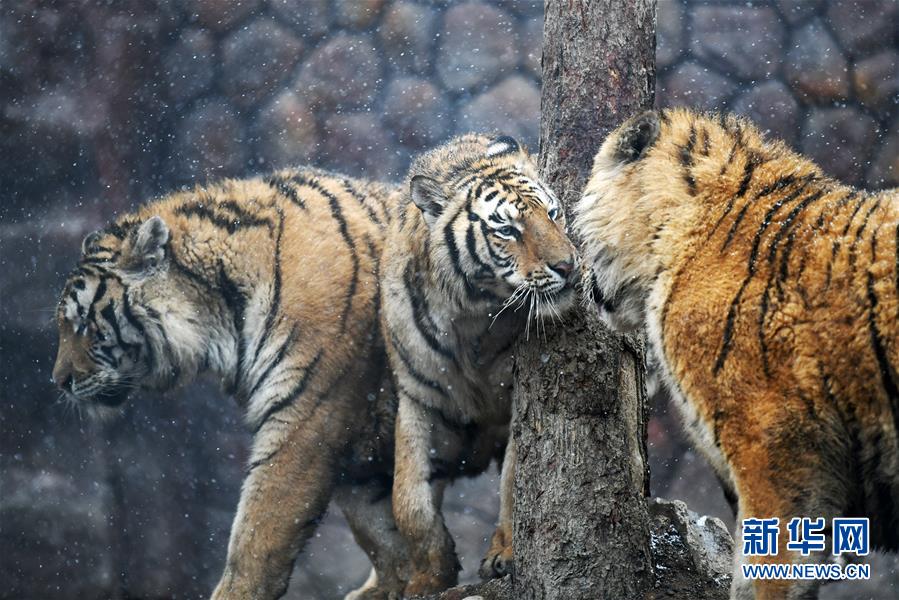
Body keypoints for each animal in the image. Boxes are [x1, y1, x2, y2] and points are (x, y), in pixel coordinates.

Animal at [51, 168, 412, 600]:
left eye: (83, 324)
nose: (59, 381)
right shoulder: (354, 445)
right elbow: (383, 531)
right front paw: (405, 581)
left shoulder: (306, 417)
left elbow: (259, 530)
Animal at [381, 134, 579, 595]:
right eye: (507, 230)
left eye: (554, 213)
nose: (568, 266)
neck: (470, 314)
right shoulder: (418, 398)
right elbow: (408, 499)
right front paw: (427, 578)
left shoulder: (517, 399)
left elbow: (515, 480)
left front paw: (505, 554)